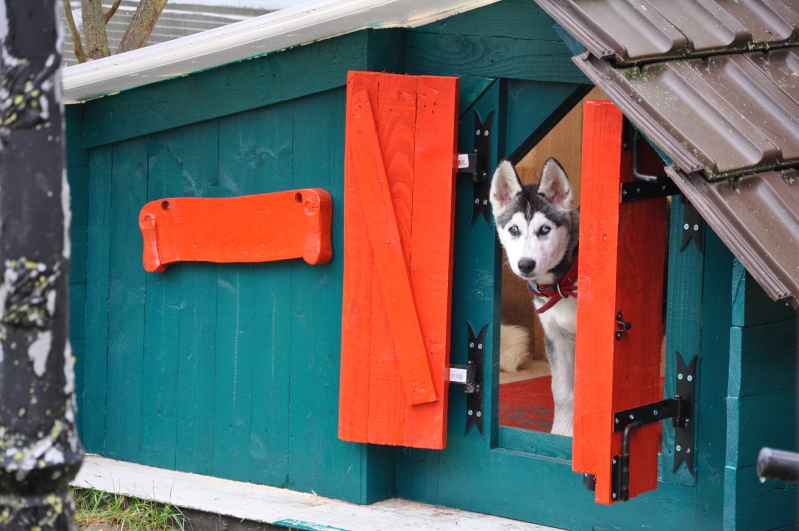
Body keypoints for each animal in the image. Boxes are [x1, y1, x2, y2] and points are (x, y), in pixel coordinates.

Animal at [490, 158, 580, 436]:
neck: (563, 284)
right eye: (514, 230)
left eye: (545, 229)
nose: (525, 264)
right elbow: (561, 392)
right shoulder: (556, 337)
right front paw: (561, 434)